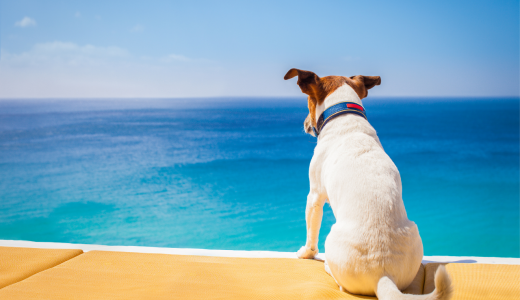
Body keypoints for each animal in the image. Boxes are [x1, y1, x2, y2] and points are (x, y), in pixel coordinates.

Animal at [284, 68, 450, 300]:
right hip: (414, 231)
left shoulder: (315, 195)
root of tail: (383, 275)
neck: (346, 116)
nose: (305, 124)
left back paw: (328, 268)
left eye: (308, 102)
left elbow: (311, 233)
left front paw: (305, 253)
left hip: (331, 237)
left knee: (340, 282)